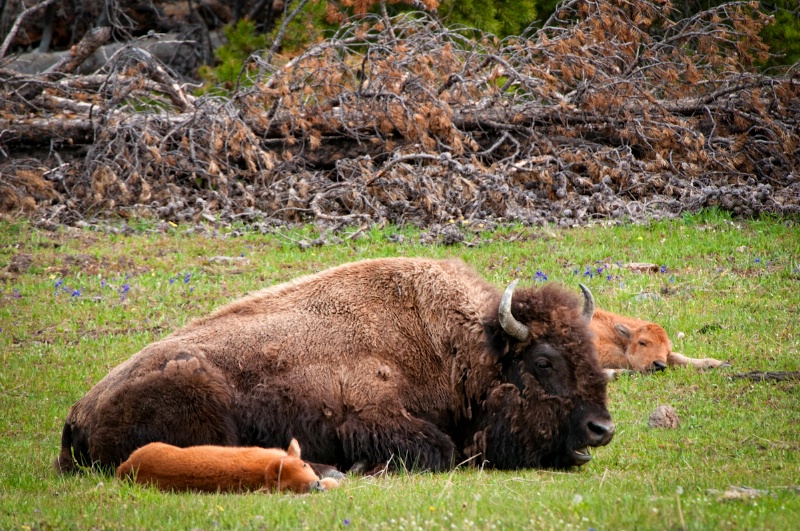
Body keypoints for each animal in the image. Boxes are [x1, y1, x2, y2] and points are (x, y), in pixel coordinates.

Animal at [56, 258, 616, 474]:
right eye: (543, 361)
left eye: (590, 353)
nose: (601, 429)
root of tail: (78, 414)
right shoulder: (375, 416)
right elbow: (440, 450)